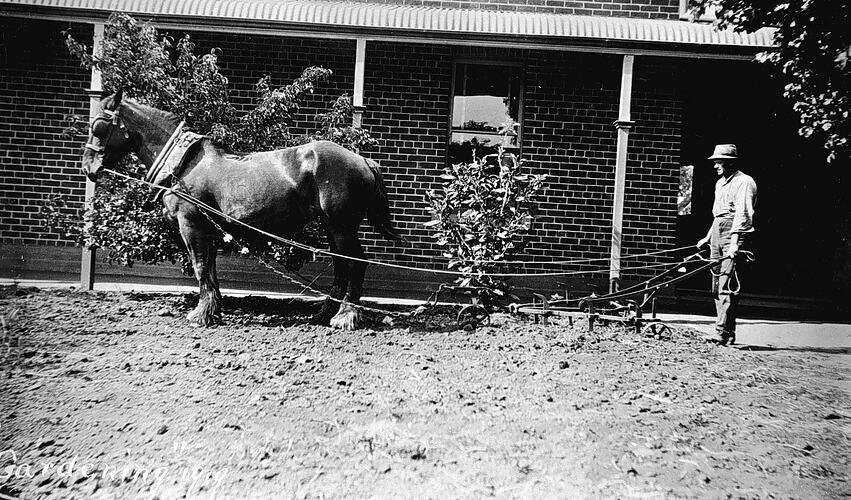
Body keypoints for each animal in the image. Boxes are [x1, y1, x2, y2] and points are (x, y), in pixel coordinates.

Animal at [82, 91, 406, 330]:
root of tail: (363, 160)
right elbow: (209, 269)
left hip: (342, 224)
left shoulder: (192, 225)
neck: (183, 165)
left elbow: (200, 267)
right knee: (341, 265)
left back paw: (346, 315)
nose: (88, 167)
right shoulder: (208, 229)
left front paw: (201, 315)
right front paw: (212, 311)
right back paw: (326, 312)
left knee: (356, 262)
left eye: (98, 126)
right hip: (331, 225)